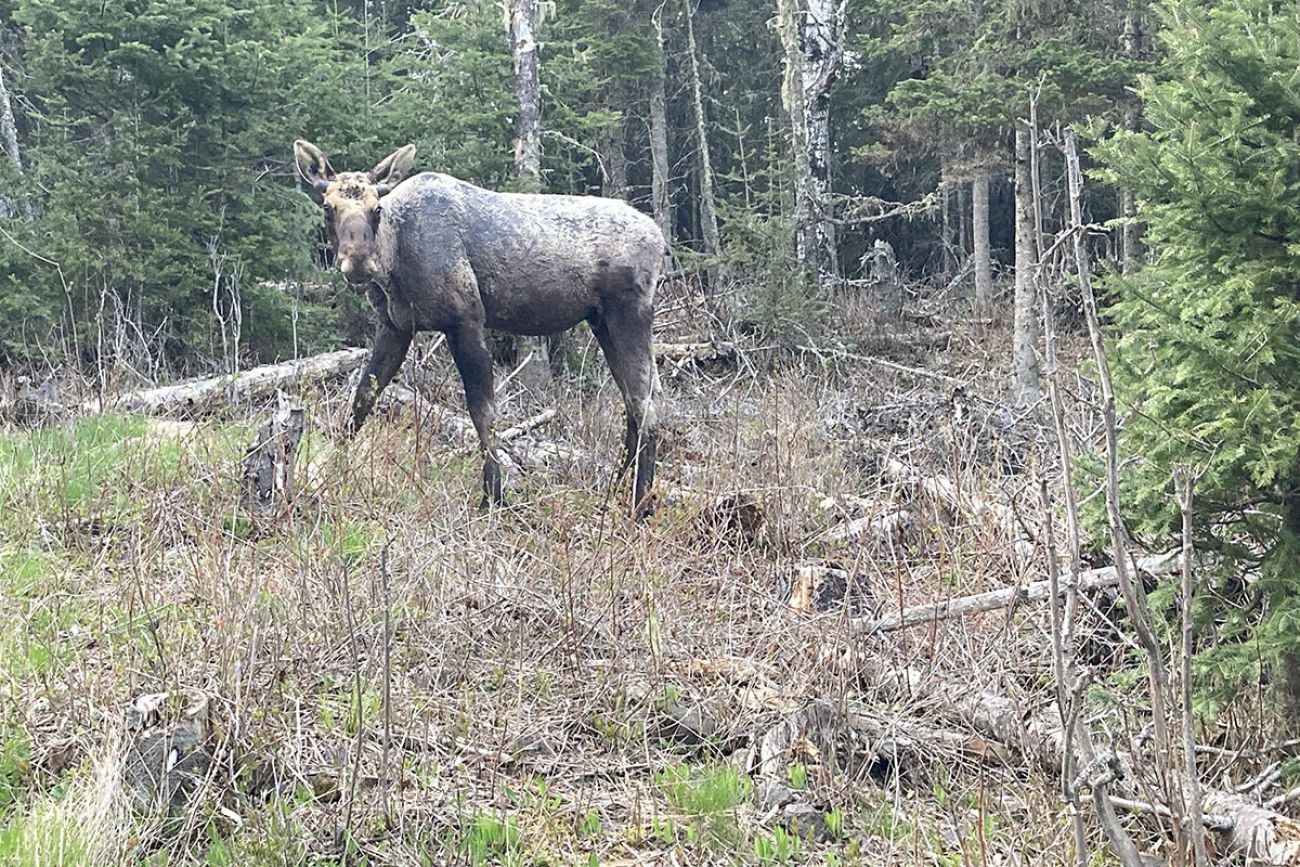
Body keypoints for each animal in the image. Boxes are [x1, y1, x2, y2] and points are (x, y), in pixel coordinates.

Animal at [291, 141, 665, 514]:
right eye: (327, 206)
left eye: (376, 208)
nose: (358, 262)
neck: (394, 264)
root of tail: (660, 238)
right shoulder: (395, 326)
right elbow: (363, 397)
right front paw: (331, 474)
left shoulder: (465, 318)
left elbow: (482, 413)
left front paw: (494, 498)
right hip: (601, 321)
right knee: (633, 402)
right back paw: (616, 489)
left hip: (629, 312)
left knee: (648, 402)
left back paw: (639, 504)